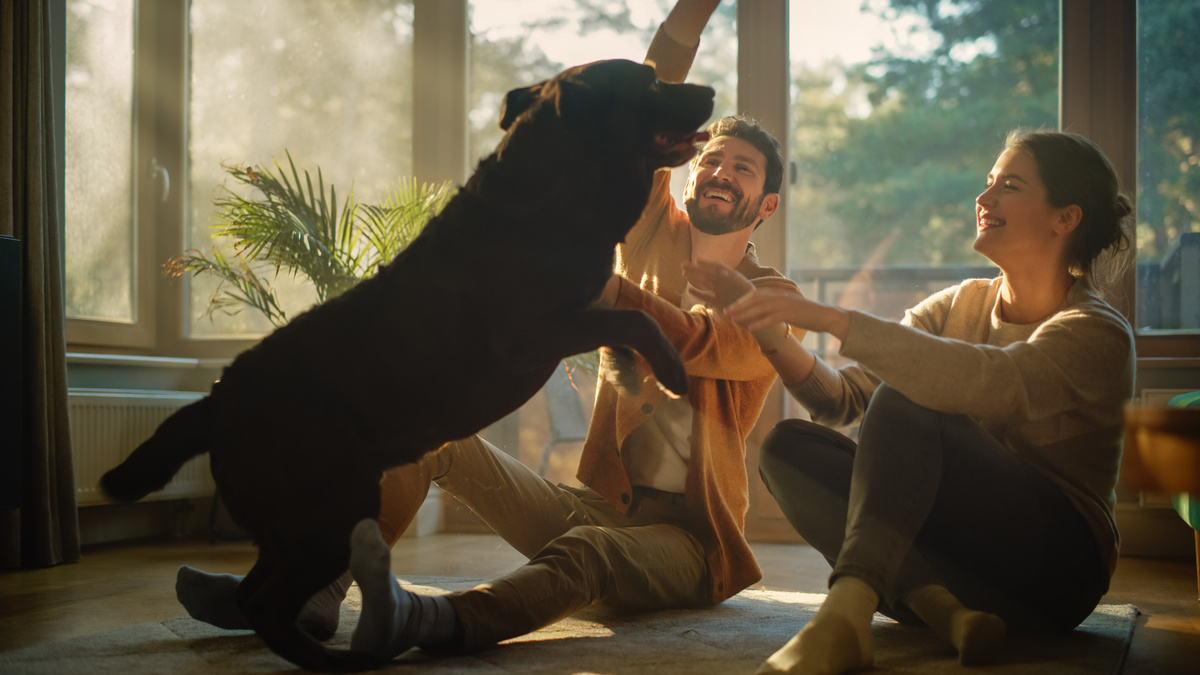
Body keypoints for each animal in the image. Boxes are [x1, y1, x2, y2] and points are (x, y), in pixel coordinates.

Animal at [103, 60, 710, 667]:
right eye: (652, 81)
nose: (706, 89)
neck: (552, 190)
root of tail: (217, 398)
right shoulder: (531, 334)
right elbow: (635, 320)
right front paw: (671, 371)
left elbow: (627, 322)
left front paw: (635, 373)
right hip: (332, 505)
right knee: (267, 603)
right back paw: (343, 658)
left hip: (301, 517)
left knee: (258, 594)